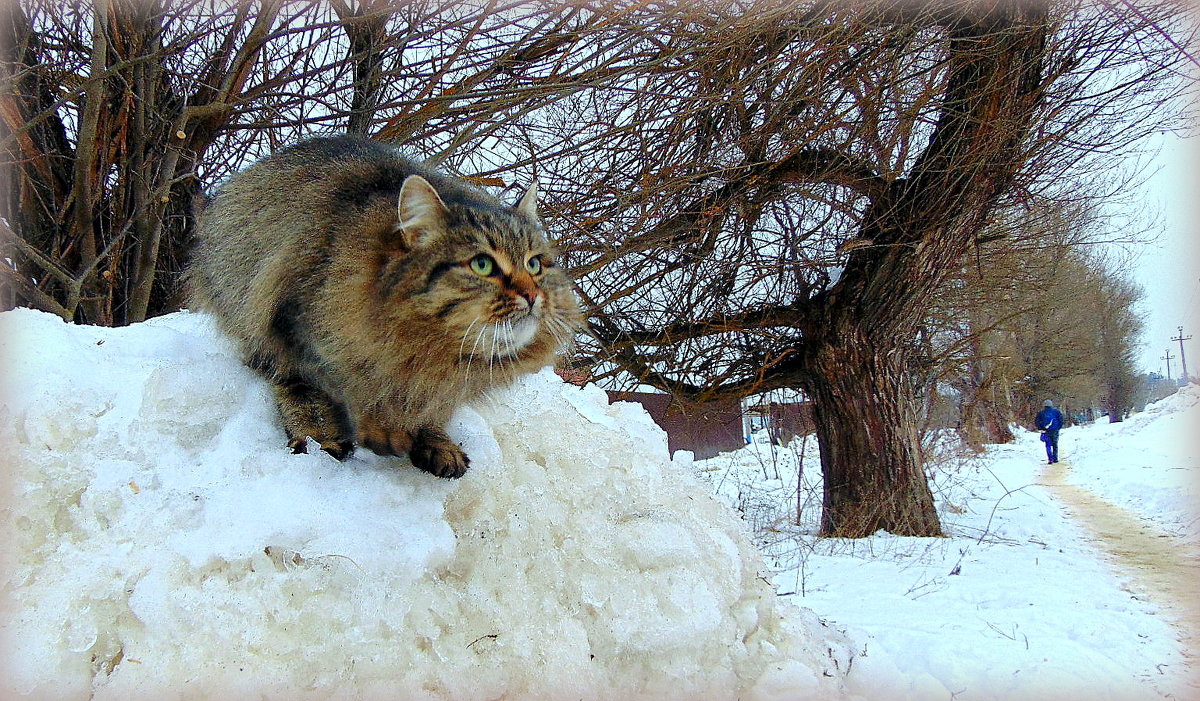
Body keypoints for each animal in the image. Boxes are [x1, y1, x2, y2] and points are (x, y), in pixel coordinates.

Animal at [186, 135, 580, 475]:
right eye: (482, 264)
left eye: (535, 264)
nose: (534, 295)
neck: (430, 352)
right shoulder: (300, 327)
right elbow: (335, 386)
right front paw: (373, 429)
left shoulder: (443, 384)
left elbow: (432, 408)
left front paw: (432, 439)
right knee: (285, 379)